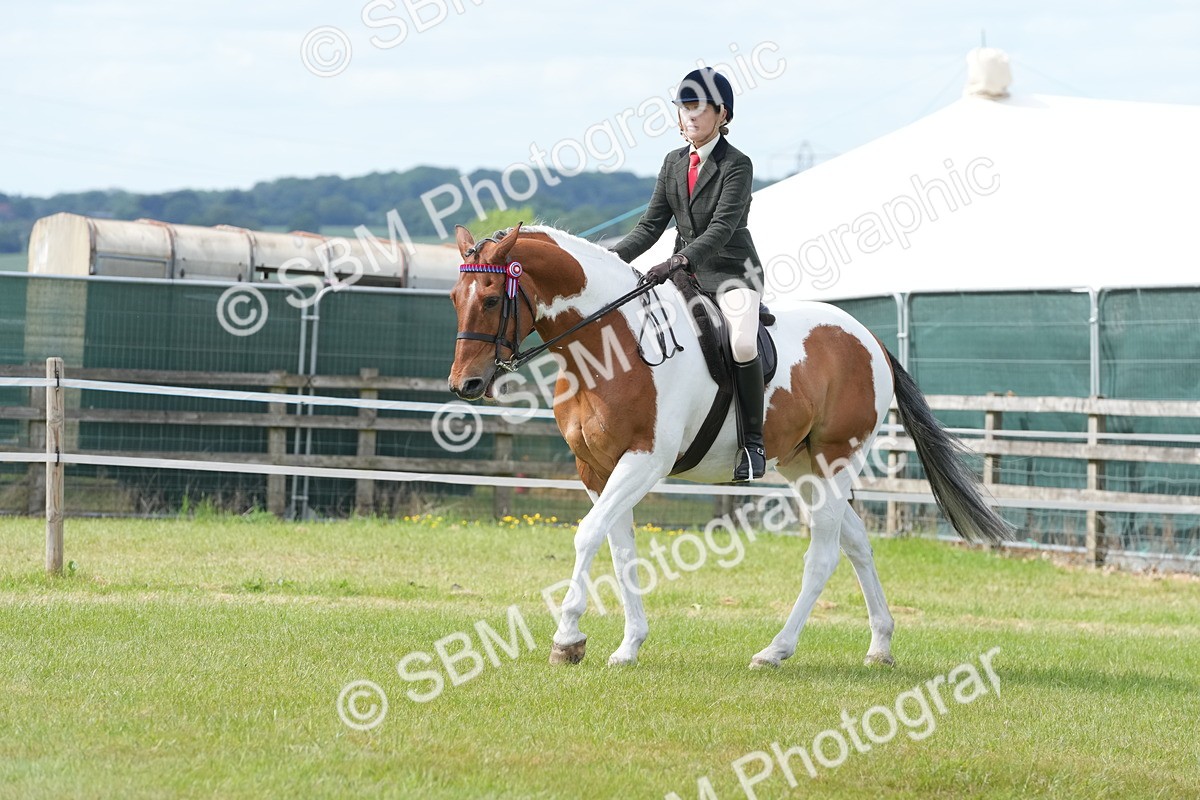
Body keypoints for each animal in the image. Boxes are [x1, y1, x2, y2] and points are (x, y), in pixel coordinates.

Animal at [447, 222, 1012, 669]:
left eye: (493, 299)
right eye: (455, 298)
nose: (465, 385)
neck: (608, 346)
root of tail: (869, 339)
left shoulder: (644, 462)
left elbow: (587, 536)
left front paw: (567, 639)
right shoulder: (596, 469)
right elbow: (620, 548)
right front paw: (628, 646)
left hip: (836, 459)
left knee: (824, 554)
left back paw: (775, 650)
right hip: (804, 466)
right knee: (856, 543)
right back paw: (880, 646)